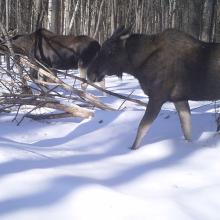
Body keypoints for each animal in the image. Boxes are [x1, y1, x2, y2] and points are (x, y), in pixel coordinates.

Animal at [87, 25, 220, 150]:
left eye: (110, 50)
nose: (90, 73)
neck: (138, 67)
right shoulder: (179, 99)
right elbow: (186, 129)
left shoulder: (157, 97)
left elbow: (142, 128)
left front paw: (131, 150)